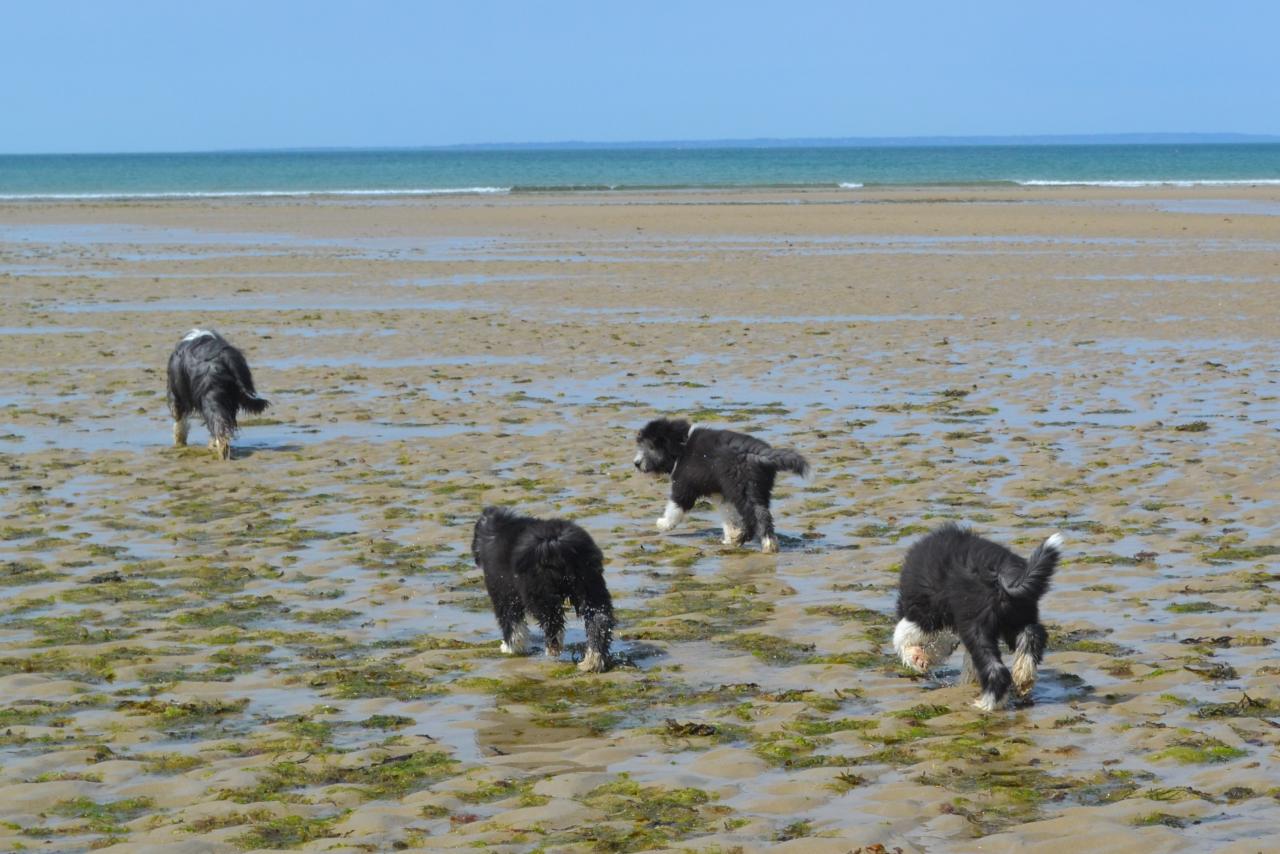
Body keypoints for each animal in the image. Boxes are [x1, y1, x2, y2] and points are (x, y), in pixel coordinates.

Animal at [166, 330, 268, 460]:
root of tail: (223, 356)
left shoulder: (176, 396)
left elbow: (179, 423)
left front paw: (179, 443)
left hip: (211, 398)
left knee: (219, 428)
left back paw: (220, 452)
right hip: (229, 399)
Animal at [471, 507, 614, 676]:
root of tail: (555, 541)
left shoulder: (503, 593)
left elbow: (511, 623)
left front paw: (510, 648)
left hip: (539, 593)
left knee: (553, 621)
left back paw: (553, 649)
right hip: (590, 584)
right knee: (599, 619)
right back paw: (593, 661)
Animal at [632, 419, 808, 555]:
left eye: (650, 447)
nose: (636, 463)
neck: (681, 447)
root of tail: (759, 453)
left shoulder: (684, 485)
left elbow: (676, 506)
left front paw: (664, 524)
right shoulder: (721, 494)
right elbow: (728, 516)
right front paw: (730, 535)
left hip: (742, 489)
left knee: (756, 516)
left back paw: (752, 541)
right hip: (758, 489)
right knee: (761, 514)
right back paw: (760, 542)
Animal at [896, 524, 1064, 711]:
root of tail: (1001, 575)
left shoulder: (924, 612)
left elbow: (902, 635)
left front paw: (916, 658)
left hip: (976, 625)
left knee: (996, 670)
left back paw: (986, 704)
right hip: (1018, 615)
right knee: (1033, 634)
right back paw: (1023, 677)